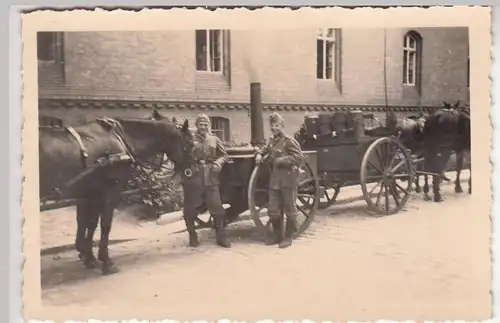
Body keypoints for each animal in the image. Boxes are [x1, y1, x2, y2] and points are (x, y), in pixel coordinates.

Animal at [39, 110, 189, 274]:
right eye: (189, 140)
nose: (187, 170)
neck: (120, 140)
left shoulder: (91, 193)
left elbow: (88, 223)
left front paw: (88, 256)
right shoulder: (109, 191)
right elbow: (104, 224)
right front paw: (105, 260)